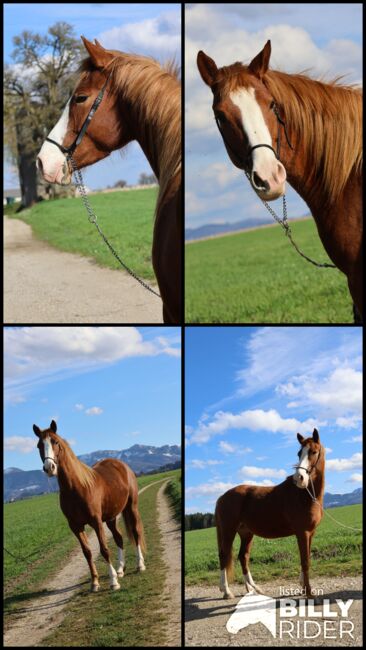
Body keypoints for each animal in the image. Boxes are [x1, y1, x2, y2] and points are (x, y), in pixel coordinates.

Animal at [32, 418, 145, 588]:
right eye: (39, 445)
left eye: (55, 442)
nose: (49, 468)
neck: (76, 488)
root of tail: (122, 465)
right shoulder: (75, 526)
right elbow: (87, 552)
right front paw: (95, 582)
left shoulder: (96, 522)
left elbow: (104, 549)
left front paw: (113, 581)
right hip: (111, 518)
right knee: (118, 537)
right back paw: (120, 569)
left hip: (132, 508)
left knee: (136, 532)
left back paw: (140, 565)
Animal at [216, 428, 324, 596]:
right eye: (299, 453)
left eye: (313, 451)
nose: (299, 478)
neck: (306, 496)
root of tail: (222, 497)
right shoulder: (302, 532)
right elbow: (305, 561)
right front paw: (309, 593)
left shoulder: (311, 532)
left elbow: (307, 559)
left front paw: (302, 586)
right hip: (229, 531)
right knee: (224, 555)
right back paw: (227, 591)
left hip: (246, 533)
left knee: (243, 556)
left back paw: (253, 588)